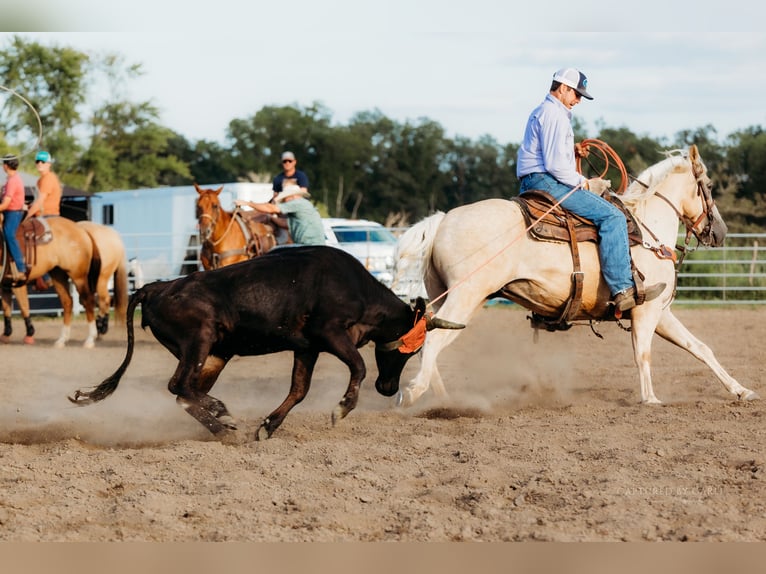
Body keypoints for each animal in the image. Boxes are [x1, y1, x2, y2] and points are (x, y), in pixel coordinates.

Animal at [0, 218, 99, 348]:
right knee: (67, 302)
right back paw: (62, 340)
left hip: (78, 276)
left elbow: (23, 307)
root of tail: (81, 229)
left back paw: (90, 340)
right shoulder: (5, 285)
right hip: (58, 275)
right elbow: (8, 309)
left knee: (88, 300)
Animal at [396, 146, 760, 408]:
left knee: (426, 337)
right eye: (708, 186)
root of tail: (443, 219)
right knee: (432, 341)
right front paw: (650, 398)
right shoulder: (646, 310)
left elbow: (700, 347)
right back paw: (414, 392)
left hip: (445, 296)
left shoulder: (660, 311)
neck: (647, 229)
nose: (721, 232)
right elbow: (642, 352)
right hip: (465, 296)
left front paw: (741, 390)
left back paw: (440, 398)